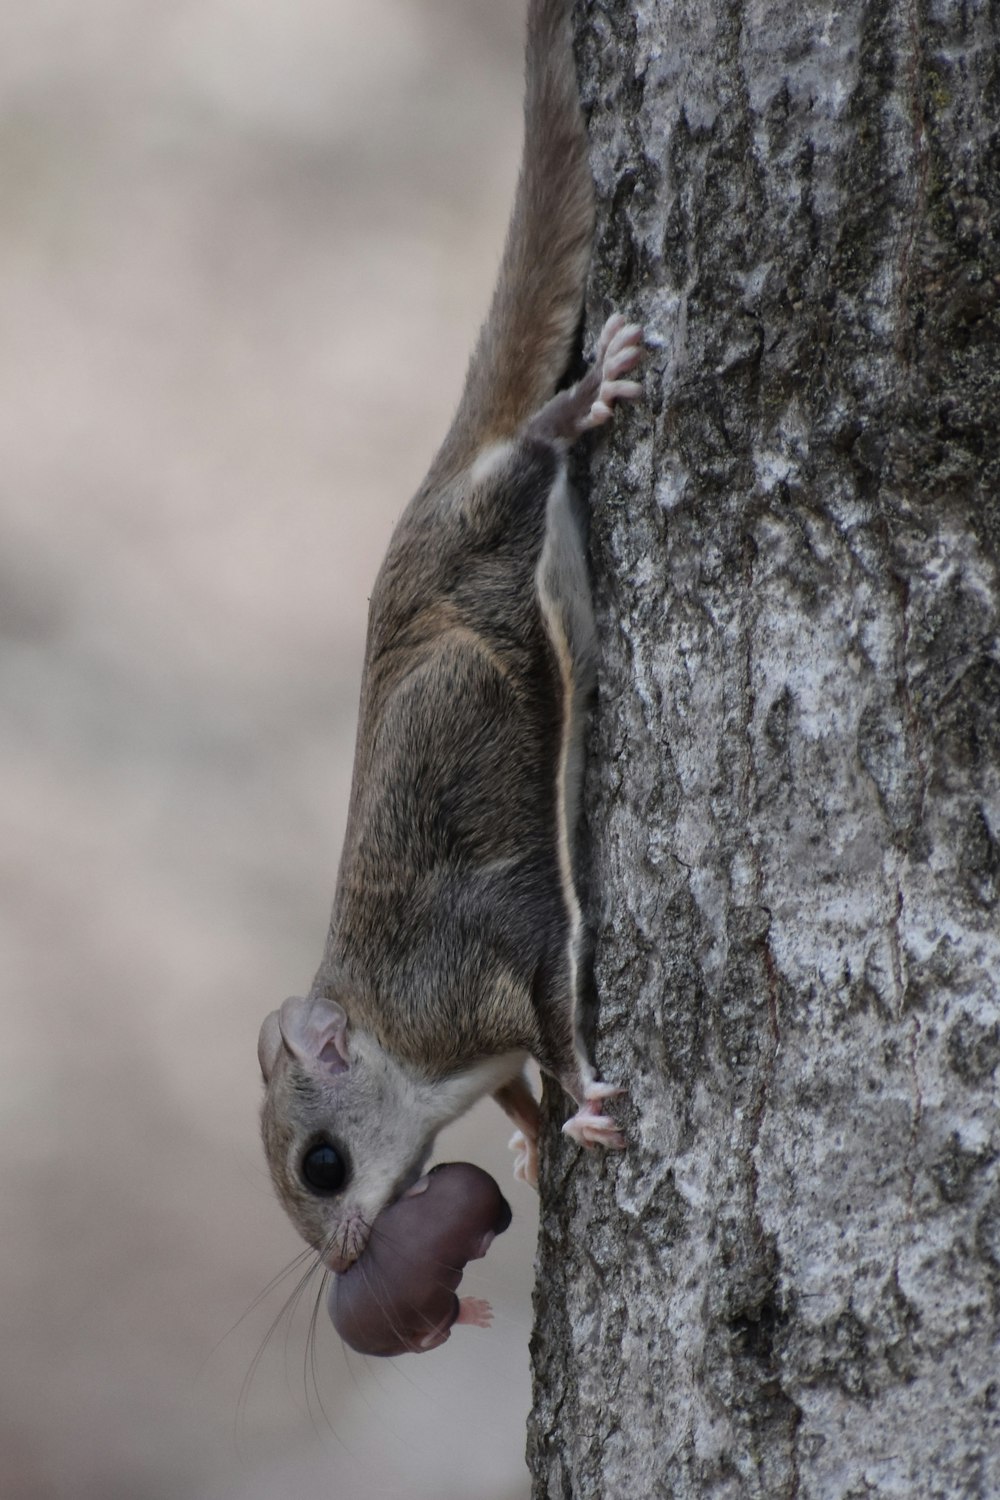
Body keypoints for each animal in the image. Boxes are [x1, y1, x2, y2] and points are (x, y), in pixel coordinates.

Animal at [257, 0, 644, 1272]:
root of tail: (417, 517)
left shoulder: (477, 968)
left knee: (523, 464)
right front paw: (526, 1128)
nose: (342, 1262)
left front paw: (581, 1106)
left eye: (322, 1165)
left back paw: (572, 407)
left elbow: (554, 1009)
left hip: (488, 538)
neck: (394, 1036)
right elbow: (517, 1077)